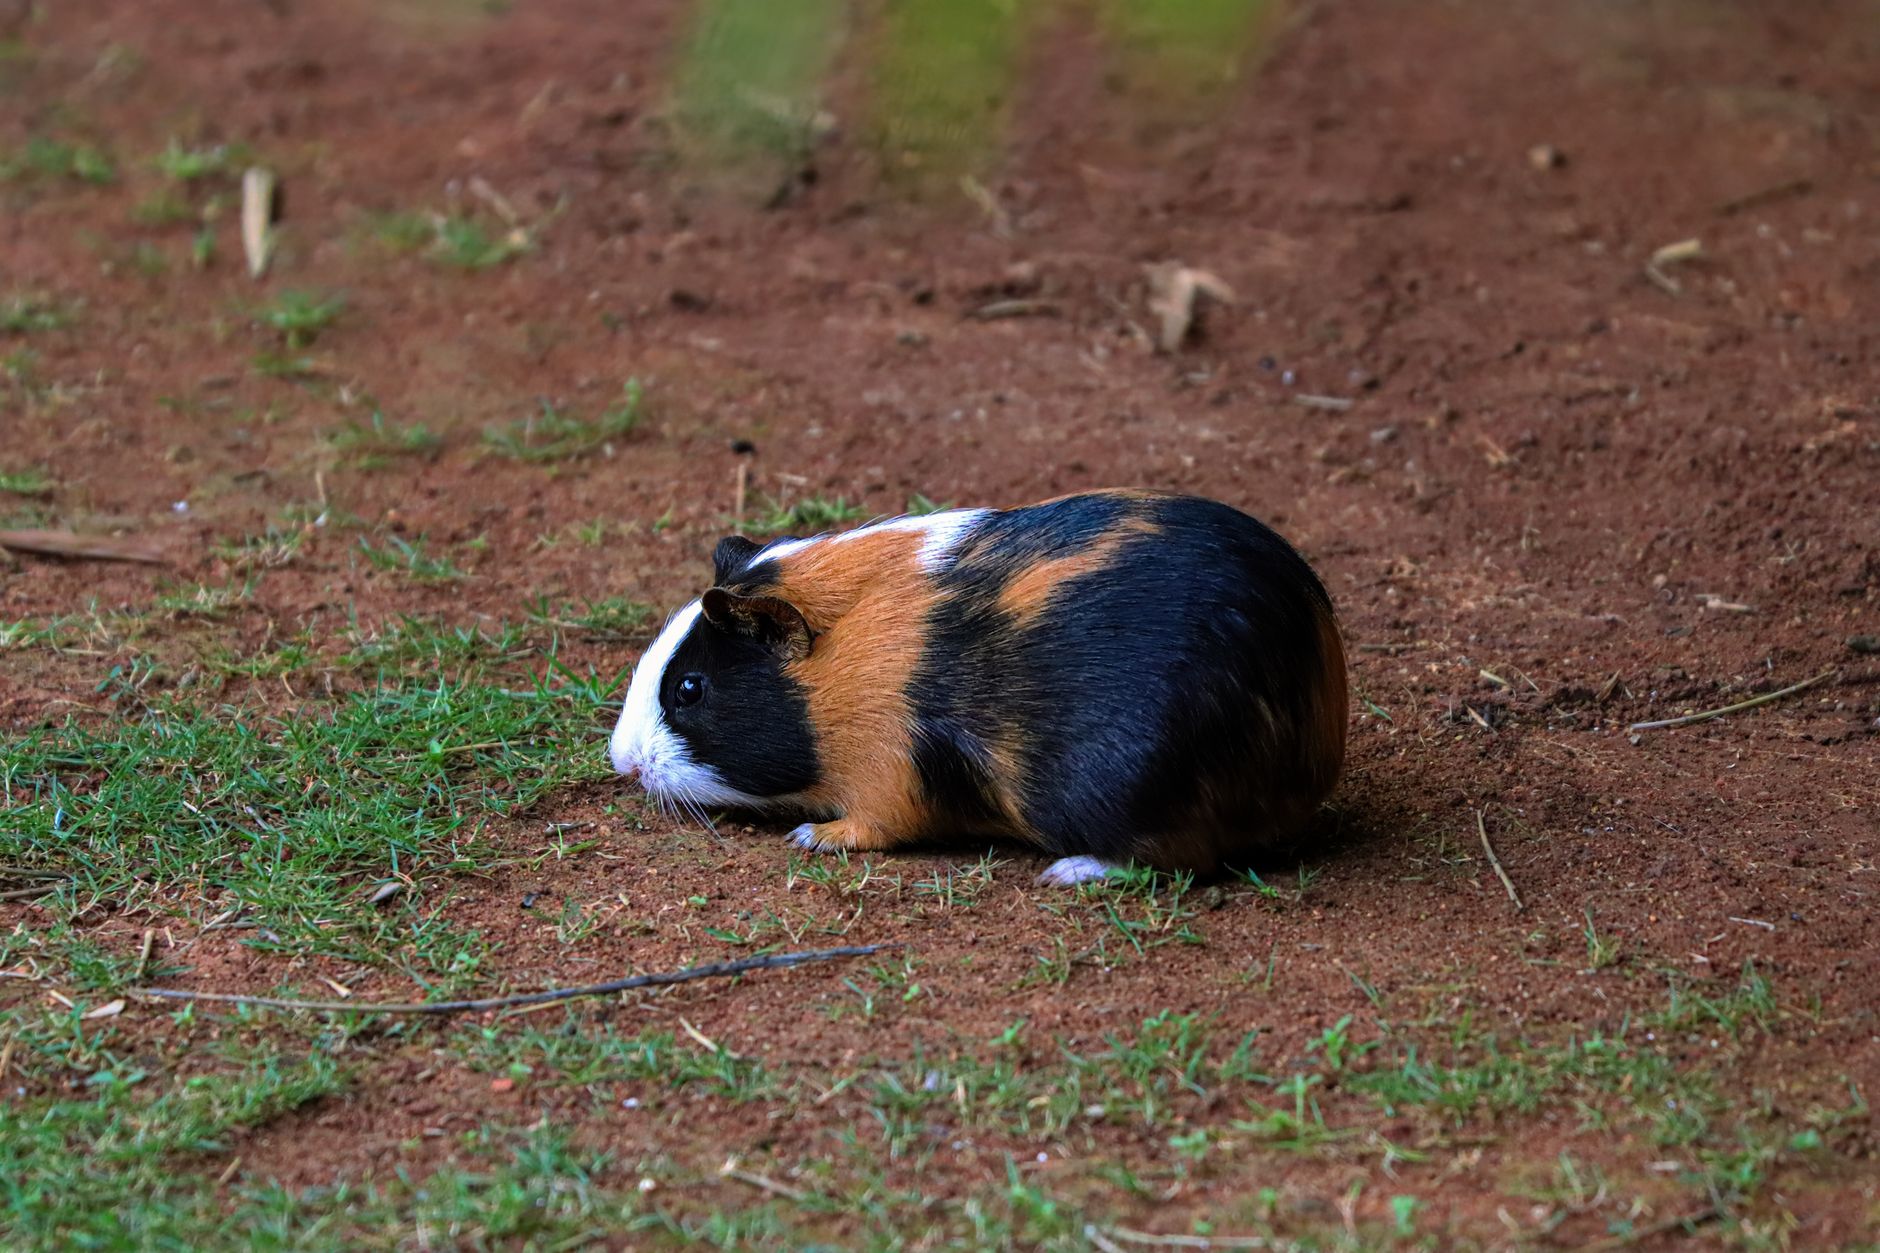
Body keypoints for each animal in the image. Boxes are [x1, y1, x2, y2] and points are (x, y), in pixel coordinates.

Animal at [609, 489, 1347, 884]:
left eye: (690, 689)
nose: (623, 762)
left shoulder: (891, 775)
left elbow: (873, 823)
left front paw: (811, 837)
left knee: (1180, 855)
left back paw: (1067, 871)